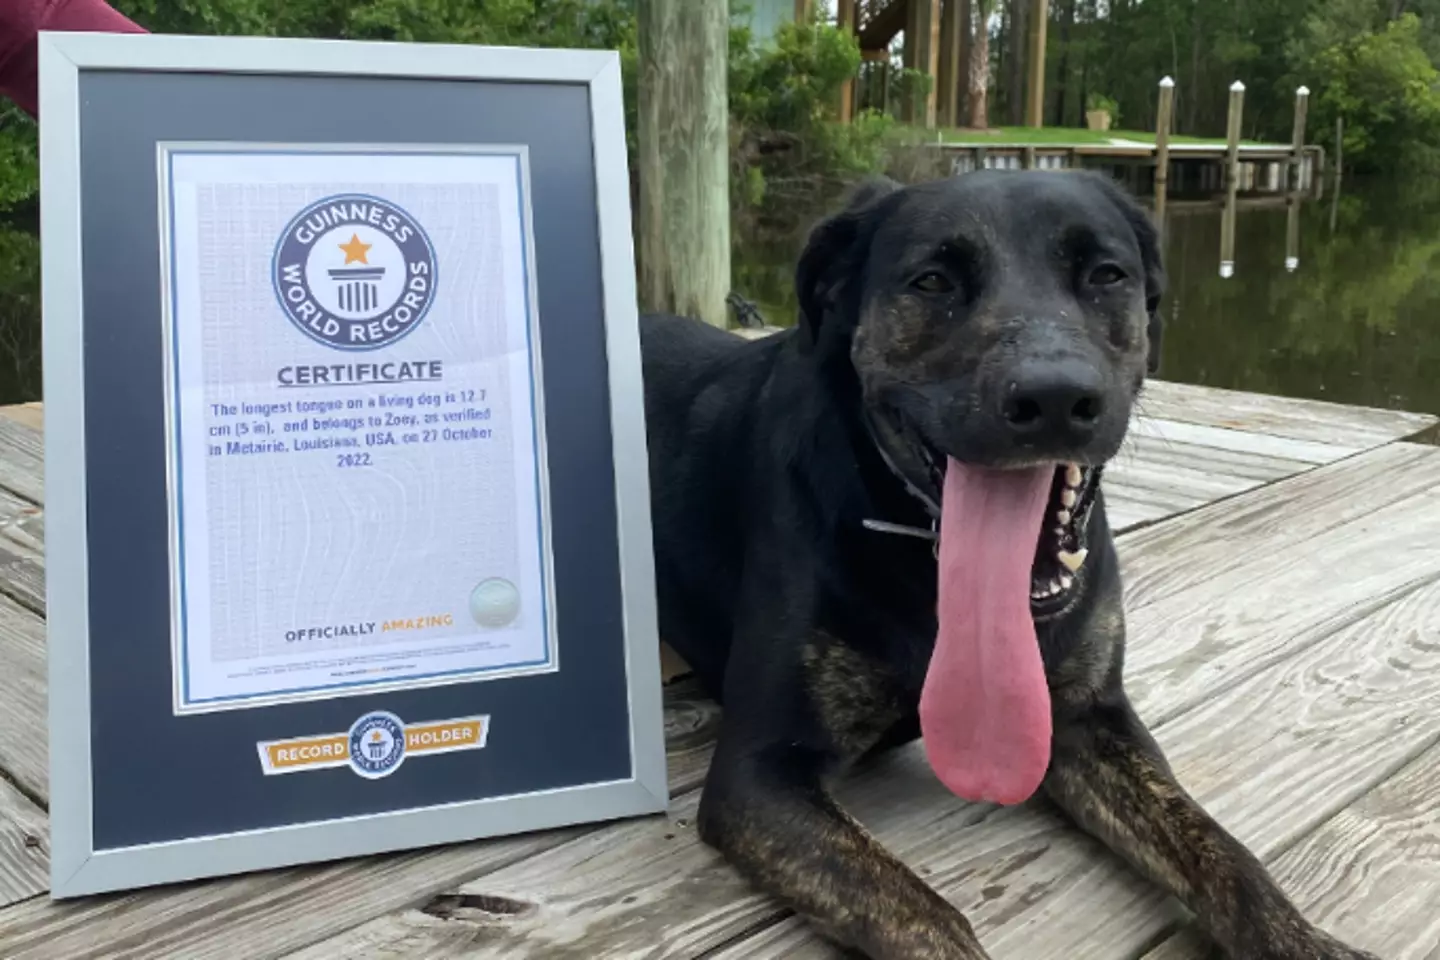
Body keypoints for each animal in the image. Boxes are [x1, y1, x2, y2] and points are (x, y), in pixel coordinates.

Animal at [639, 169, 1370, 955]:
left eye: (1106, 274)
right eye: (932, 280)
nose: (1053, 397)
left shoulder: (1088, 717)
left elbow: (1219, 848)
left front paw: (1300, 938)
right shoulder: (761, 772)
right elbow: (920, 912)